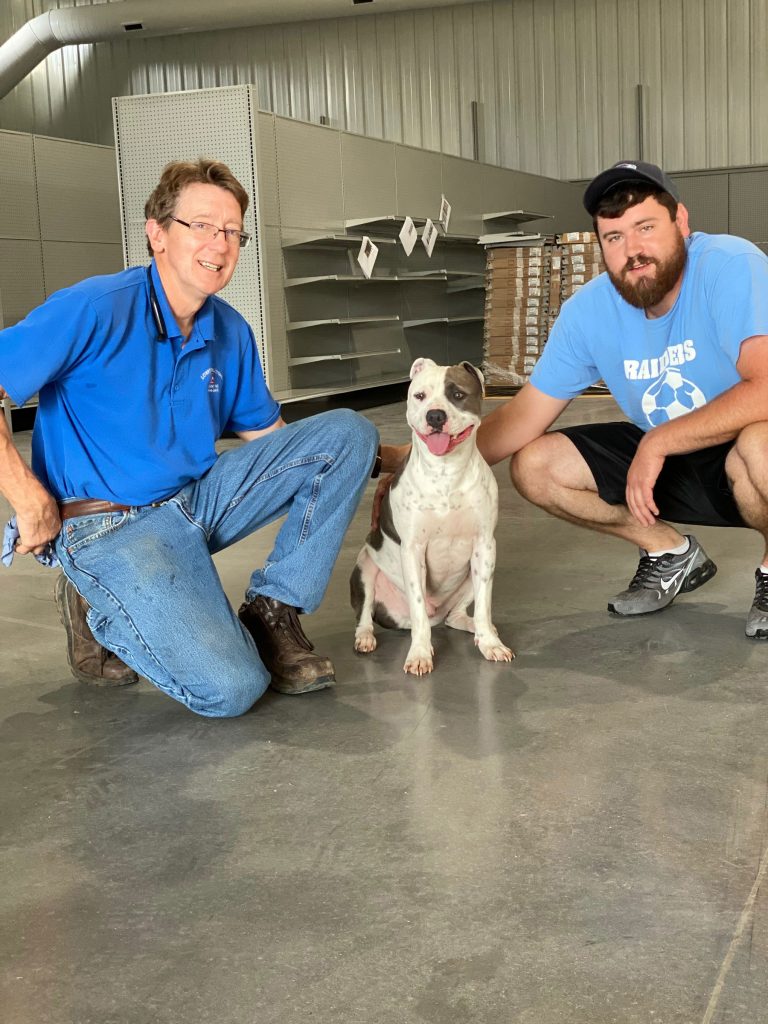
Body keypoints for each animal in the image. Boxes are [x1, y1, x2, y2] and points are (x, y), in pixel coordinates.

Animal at [352, 356, 514, 675]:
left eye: (458, 394)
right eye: (420, 396)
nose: (435, 415)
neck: (445, 472)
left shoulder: (484, 545)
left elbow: (485, 606)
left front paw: (490, 643)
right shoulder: (413, 550)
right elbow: (418, 612)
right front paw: (419, 653)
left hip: (475, 572)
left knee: (458, 615)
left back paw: (479, 630)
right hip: (365, 567)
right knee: (367, 614)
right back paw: (365, 637)